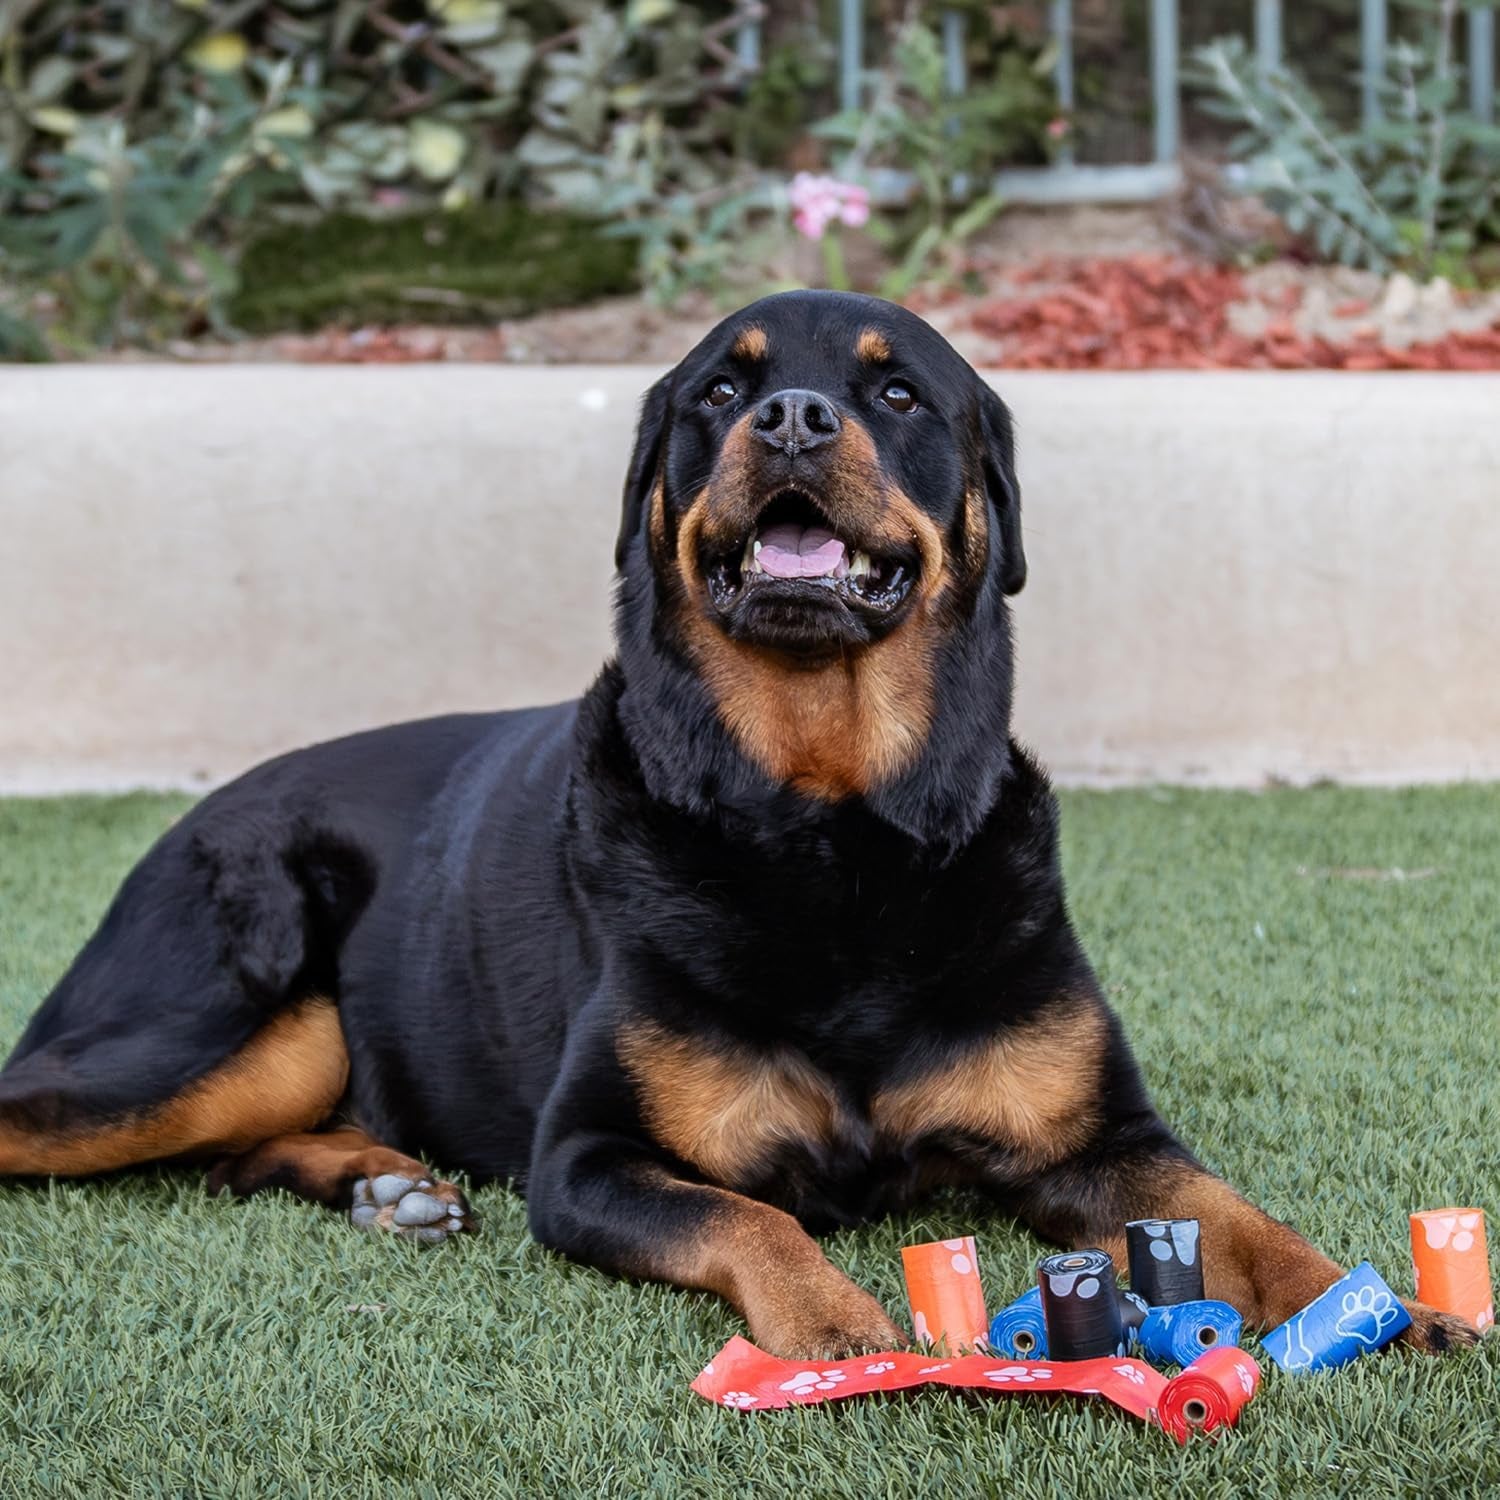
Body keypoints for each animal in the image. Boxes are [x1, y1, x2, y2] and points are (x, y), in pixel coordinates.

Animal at [0, 289, 1476, 1362]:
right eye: (721, 387)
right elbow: (748, 1217)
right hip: (203, 1029)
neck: (831, 826)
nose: (796, 416)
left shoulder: (1100, 1143)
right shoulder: (588, 1160)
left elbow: (1241, 1217)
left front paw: (1382, 1305)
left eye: (897, 389)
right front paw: (833, 1327)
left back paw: (385, 1184)